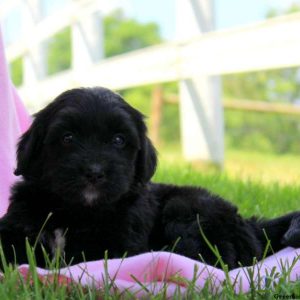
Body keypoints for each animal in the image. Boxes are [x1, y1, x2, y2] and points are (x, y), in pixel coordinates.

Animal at [0, 87, 298, 270]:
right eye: (67, 138)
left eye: (119, 140)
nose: (94, 172)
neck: (77, 211)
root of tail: (251, 226)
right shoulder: (18, 222)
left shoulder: (118, 244)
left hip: (185, 209)